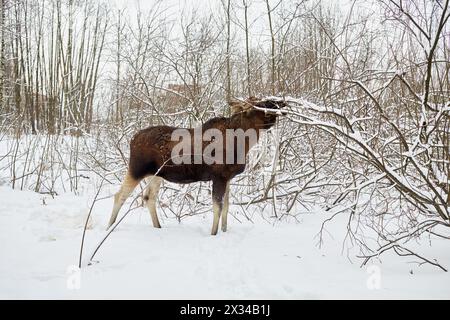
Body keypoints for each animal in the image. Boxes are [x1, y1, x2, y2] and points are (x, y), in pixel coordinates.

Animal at [107, 97, 286, 235]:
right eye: (260, 105)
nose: (280, 102)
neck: (244, 143)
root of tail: (132, 139)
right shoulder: (219, 177)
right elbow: (218, 207)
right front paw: (214, 233)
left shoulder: (228, 178)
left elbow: (226, 207)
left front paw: (224, 231)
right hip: (136, 170)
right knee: (119, 195)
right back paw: (109, 228)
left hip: (156, 175)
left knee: (149, 198)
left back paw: (158, 226)